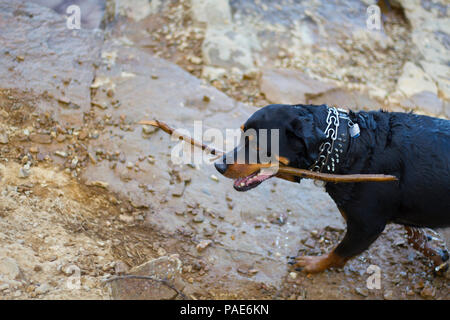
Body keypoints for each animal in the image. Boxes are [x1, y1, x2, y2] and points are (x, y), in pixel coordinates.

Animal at [214, 104, 450, 274]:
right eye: (241, 135)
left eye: (258, 145)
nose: (219, 165)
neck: (348, 147)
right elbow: (416, 237)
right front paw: (439, 258)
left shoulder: (367, 225)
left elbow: (339, 252)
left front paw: (313, 264)